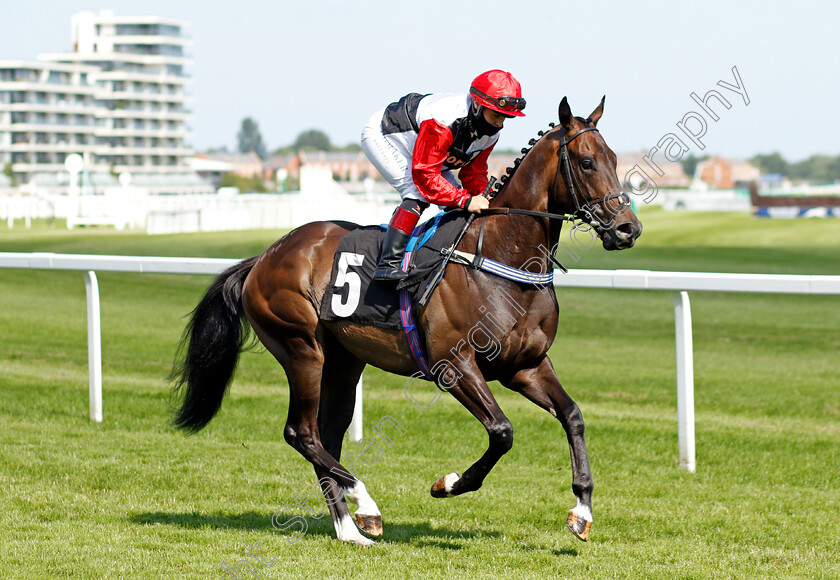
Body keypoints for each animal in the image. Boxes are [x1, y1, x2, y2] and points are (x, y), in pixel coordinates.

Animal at [171, 97, 644, 548]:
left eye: (615, 158)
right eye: (586, 161)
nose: (628, 229)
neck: (502, 259)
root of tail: (264, 257)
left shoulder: (524, 366)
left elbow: (573, 416)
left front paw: (581, 511)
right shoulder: (454, 365)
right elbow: (502, 431)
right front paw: (447, 484)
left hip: (343, 362)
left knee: (326, 435)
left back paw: (350, 528)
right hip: (302, 350)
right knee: (301, 433)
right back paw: (365, 503)